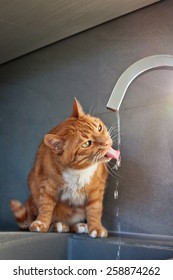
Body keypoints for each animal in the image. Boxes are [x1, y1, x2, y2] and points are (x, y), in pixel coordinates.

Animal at [10, 99, 119, 238]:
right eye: (86, 144)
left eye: (99, 128)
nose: (106, 142)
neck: (79, 171)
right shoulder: (48, 186)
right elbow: (46, 206)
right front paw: (42, 223)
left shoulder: (96, 189)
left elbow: (95, 209)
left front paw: (96, 227)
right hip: (33, 196)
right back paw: (58, 225)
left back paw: (79, 226)